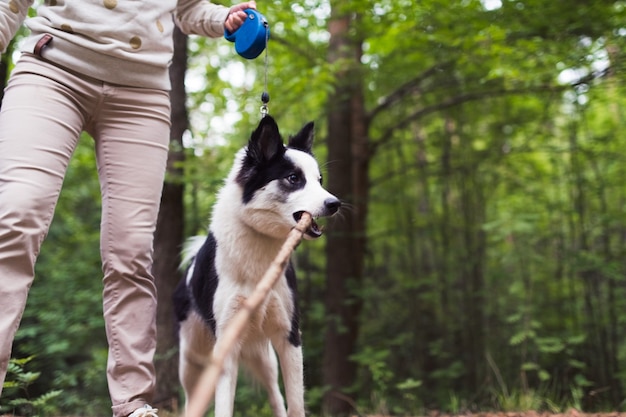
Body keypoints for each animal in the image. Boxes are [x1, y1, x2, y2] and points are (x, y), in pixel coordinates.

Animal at [172, 114, 342, 416]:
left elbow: (295, 404)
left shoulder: (289, 337)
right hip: (192, 361)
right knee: (192, 402)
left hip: (265, 359)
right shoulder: (225, 345)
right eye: (293, 178)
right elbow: (223, 406)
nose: (335, 203)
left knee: (275, 396)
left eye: (320, 180)